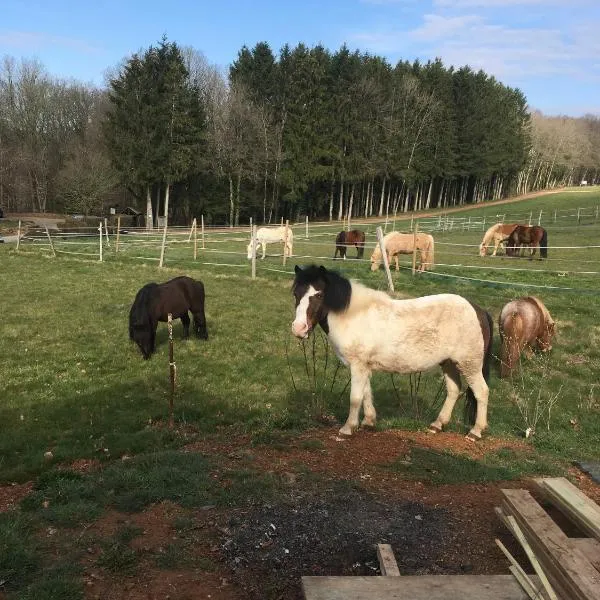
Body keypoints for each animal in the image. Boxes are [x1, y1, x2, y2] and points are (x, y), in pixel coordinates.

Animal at [291, 265, 494, 441]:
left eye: (319, 294)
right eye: (296, 293)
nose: (298, 329)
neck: (352, 314)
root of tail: (478, 310)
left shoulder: (358, 365)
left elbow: (355, 398)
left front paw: (347, 428)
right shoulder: (364, 366)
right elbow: (366, 393)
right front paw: (368, 422)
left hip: (470, 364)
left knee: (482, 392)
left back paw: (475, 432)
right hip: (449, 362)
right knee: (453, 390)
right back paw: (437, 425)